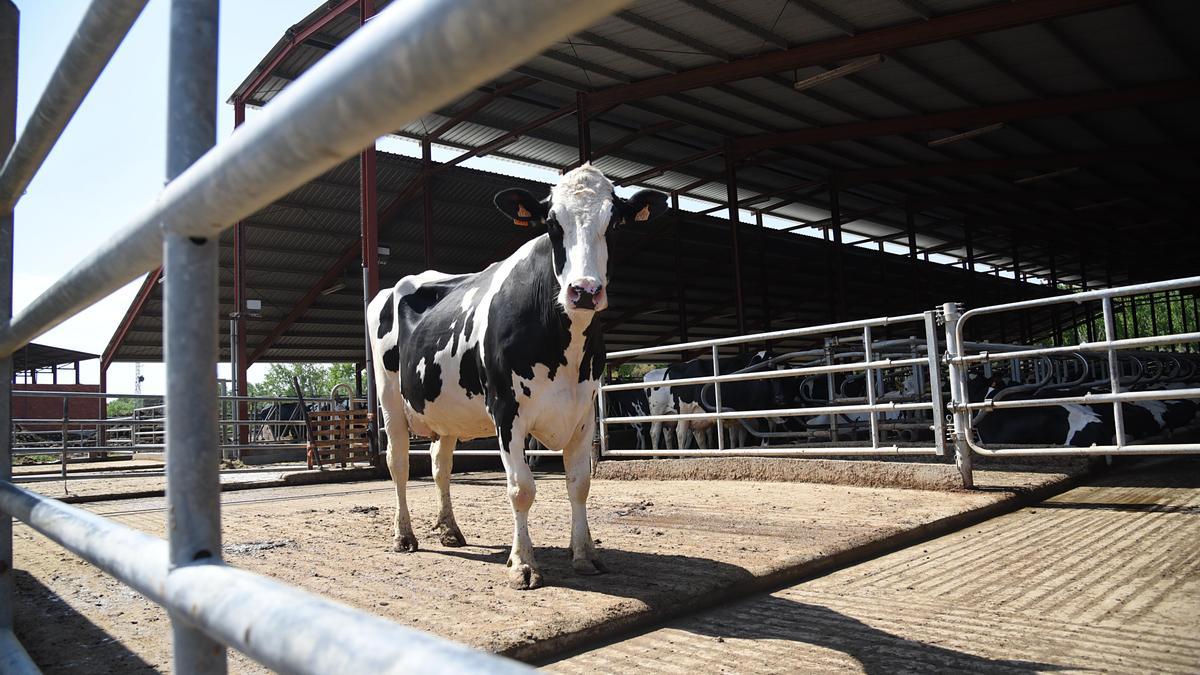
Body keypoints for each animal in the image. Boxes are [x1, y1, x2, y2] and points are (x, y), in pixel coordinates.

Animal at [364, 165, 667, 586]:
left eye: (614, 222)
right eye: (553, 224)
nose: (584, 291)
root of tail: (396, 285)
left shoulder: (585, 412)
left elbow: (580, 484)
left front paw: (585, 554)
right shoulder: (506, 410)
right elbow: (521, 488)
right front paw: (523, 563)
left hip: (446, 410)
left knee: (441, 464)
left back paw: (450, 529)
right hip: (390, 397)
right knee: (399, 463)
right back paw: (403, 535)